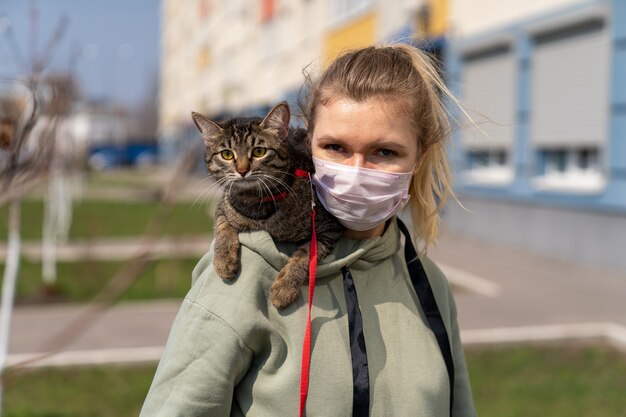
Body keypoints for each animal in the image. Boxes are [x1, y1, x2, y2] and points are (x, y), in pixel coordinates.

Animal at [191, 102, 344, 308]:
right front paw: (224, 259)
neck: (257, 203)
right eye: (227, 154)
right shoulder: (224, 205)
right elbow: (223, 226)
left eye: (259, 151)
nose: (242, 170)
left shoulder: (328, 228)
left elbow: (305, 255)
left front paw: (285, 287)